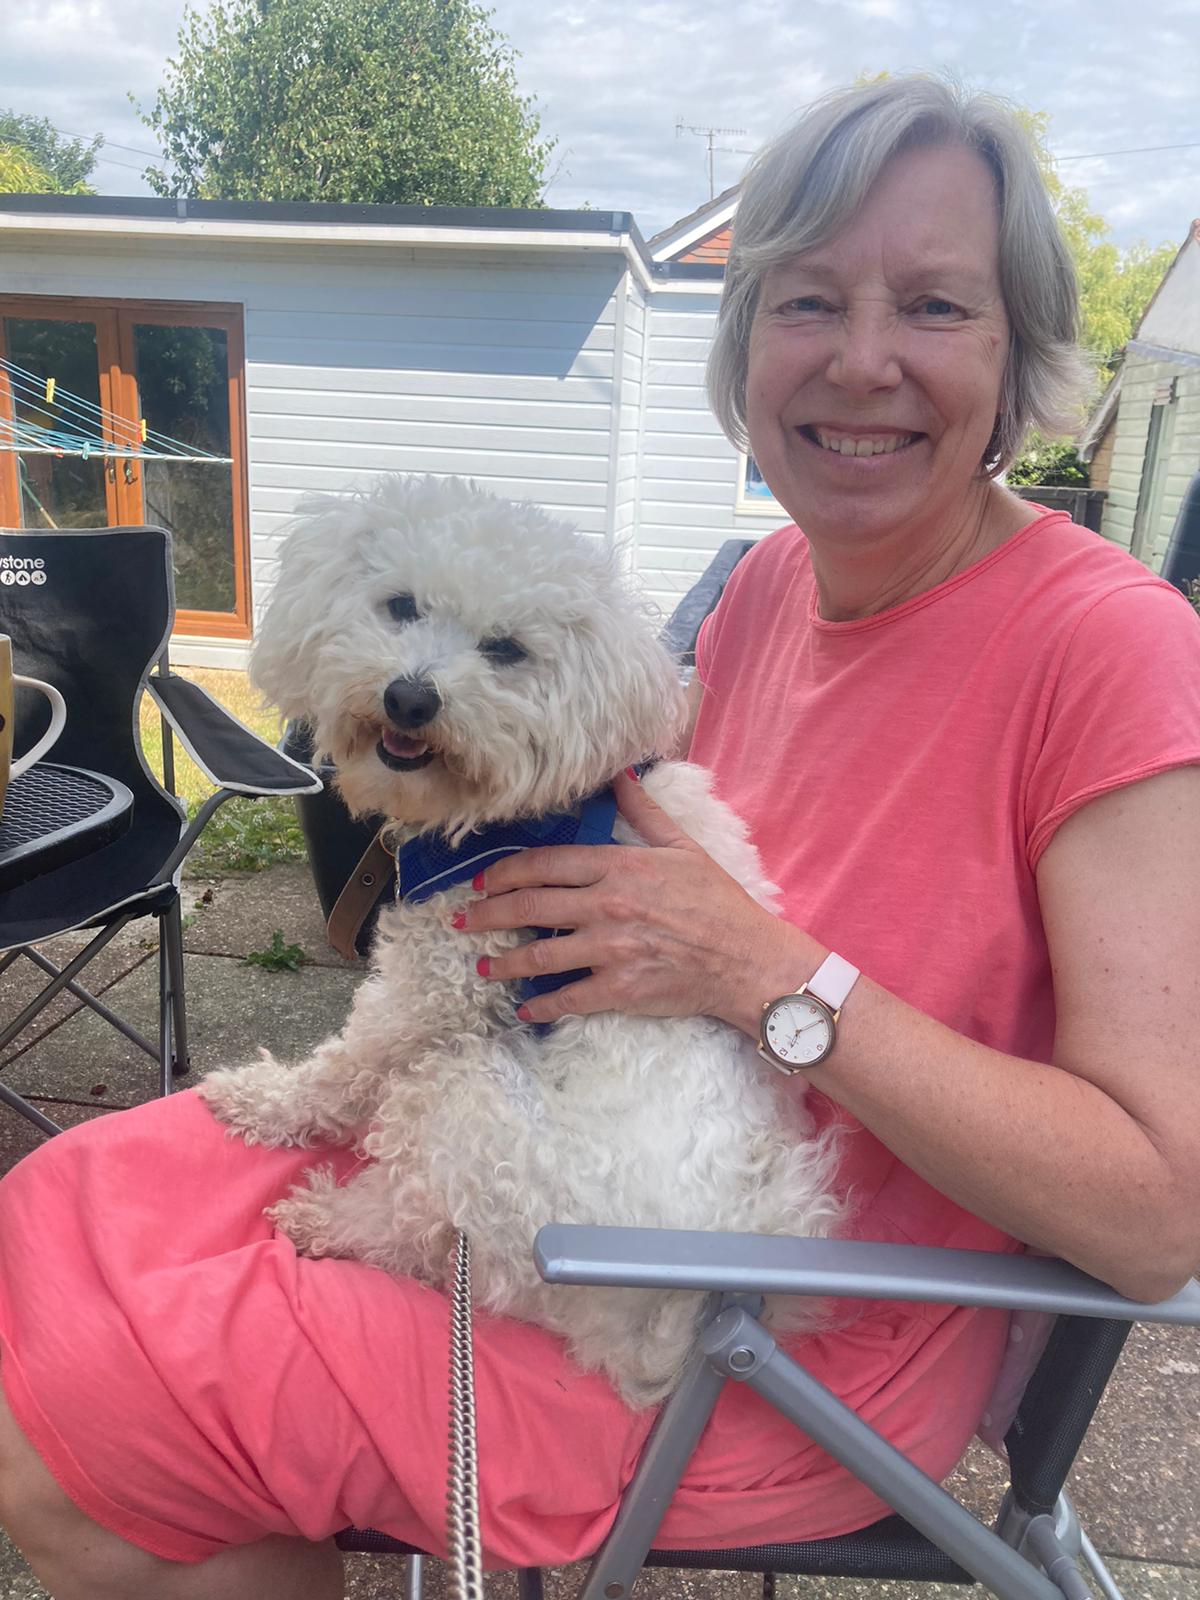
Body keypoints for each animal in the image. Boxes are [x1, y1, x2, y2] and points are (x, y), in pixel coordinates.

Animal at [200, 470, 844, 1401]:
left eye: (505, 650)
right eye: (401, 605)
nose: (410, 696)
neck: (515, 813)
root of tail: (674, 1316)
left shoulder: (439, 991)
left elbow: (343, 1067)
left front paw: (262, 1099)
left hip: (471, 1100)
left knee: (421, 1221)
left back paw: (328, 1216)